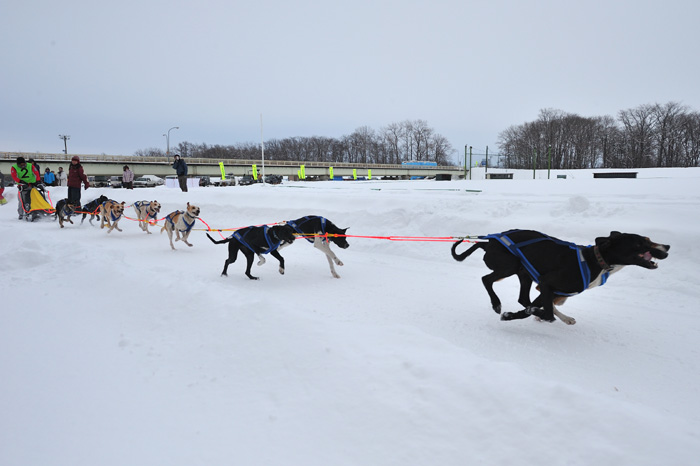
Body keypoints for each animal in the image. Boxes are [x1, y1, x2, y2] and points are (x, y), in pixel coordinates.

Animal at [452, 229, 668, 324]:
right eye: (640, 243)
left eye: (648, 239)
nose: (667, 246)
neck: (594, 260)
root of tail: (487, 241)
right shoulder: (546, 284)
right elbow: (547, 314)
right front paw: (516, 314)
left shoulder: (547, 289)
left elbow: (536, 308)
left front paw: (515, 315)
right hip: (509, 266)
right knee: (486, 279)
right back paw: (497, 304)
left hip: (524, 272)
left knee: (523, 298)